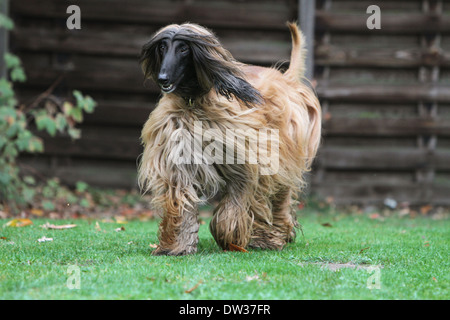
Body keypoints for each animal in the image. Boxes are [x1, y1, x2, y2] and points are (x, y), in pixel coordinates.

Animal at [139, 21, 322, 255]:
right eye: (162, 47)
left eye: (184, 48)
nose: (163, 78)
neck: (193, 102)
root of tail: (285, 78)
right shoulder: (177, 158)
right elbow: (180, 198)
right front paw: (176, 245)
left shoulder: (244, 161)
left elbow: (236, 202)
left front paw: (231, 238)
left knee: (280, 194)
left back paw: (272, 235)